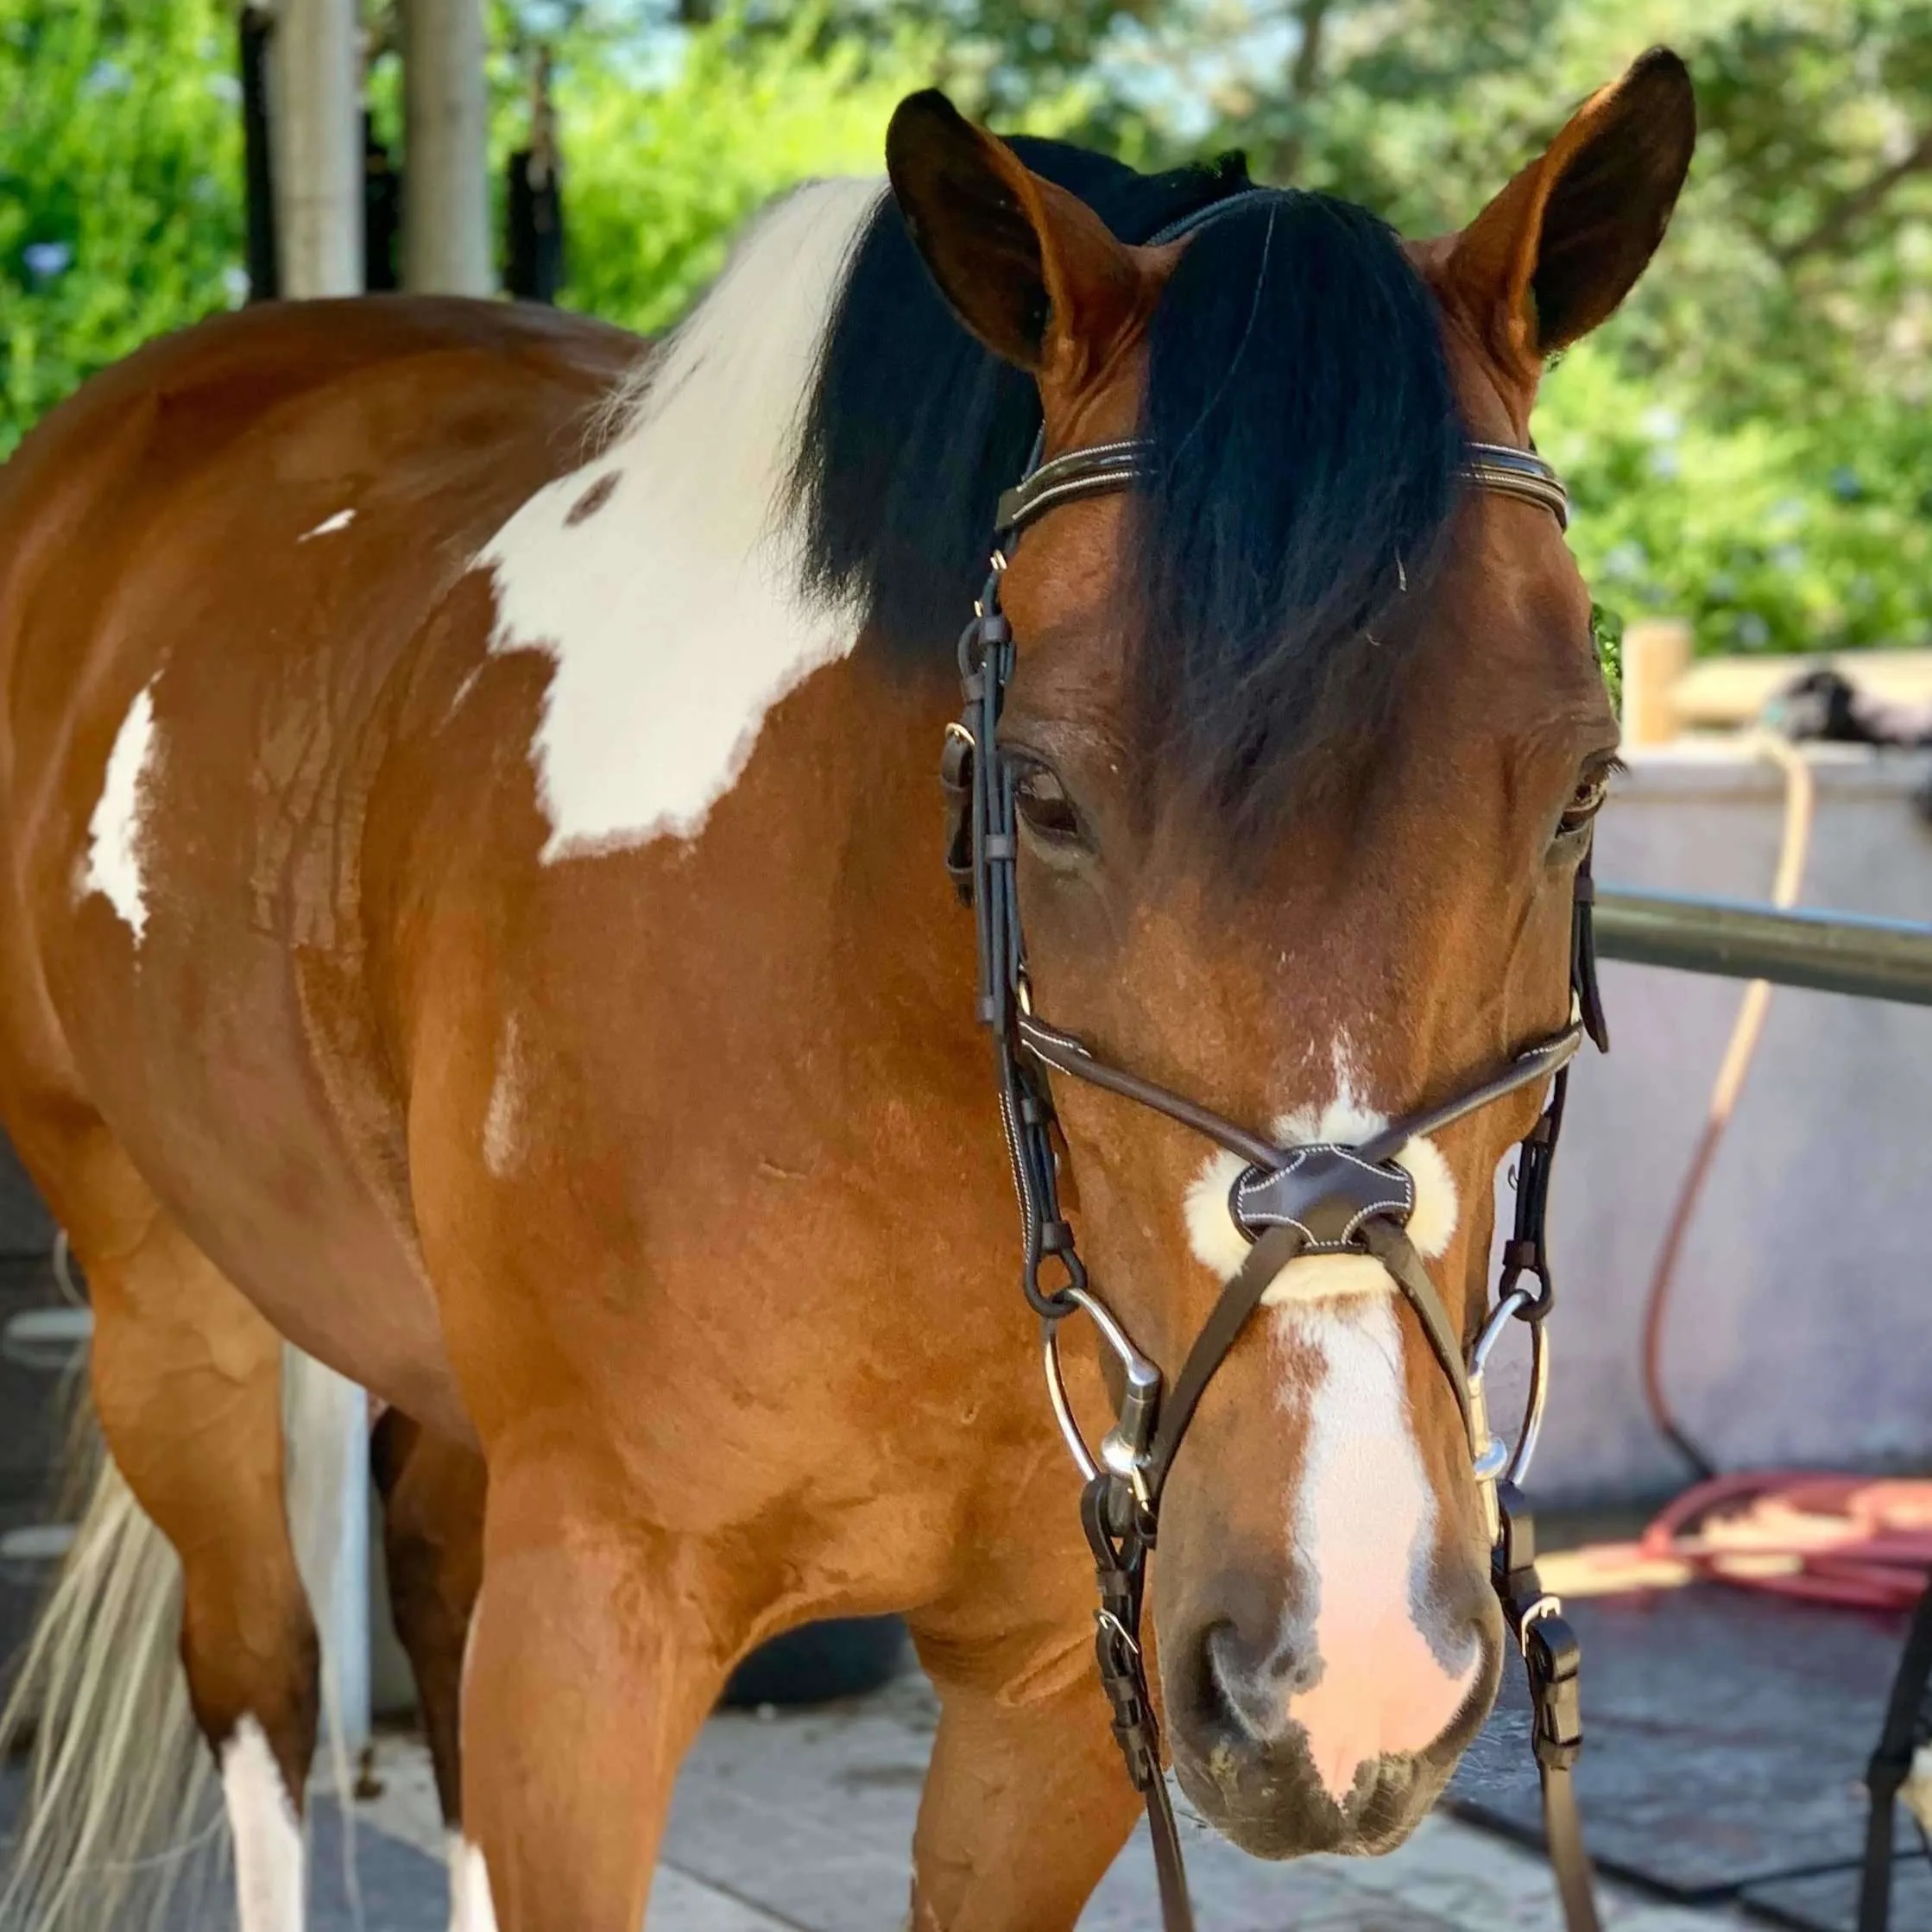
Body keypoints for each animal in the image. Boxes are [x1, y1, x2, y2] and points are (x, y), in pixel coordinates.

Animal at [0, 53, 1692, 1932]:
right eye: (1039, 793)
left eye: (1582, 792)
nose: (1347, 1669)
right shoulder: (588, 1642)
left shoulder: (1053, 1678)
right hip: (169, 1304)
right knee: (262, 1681)